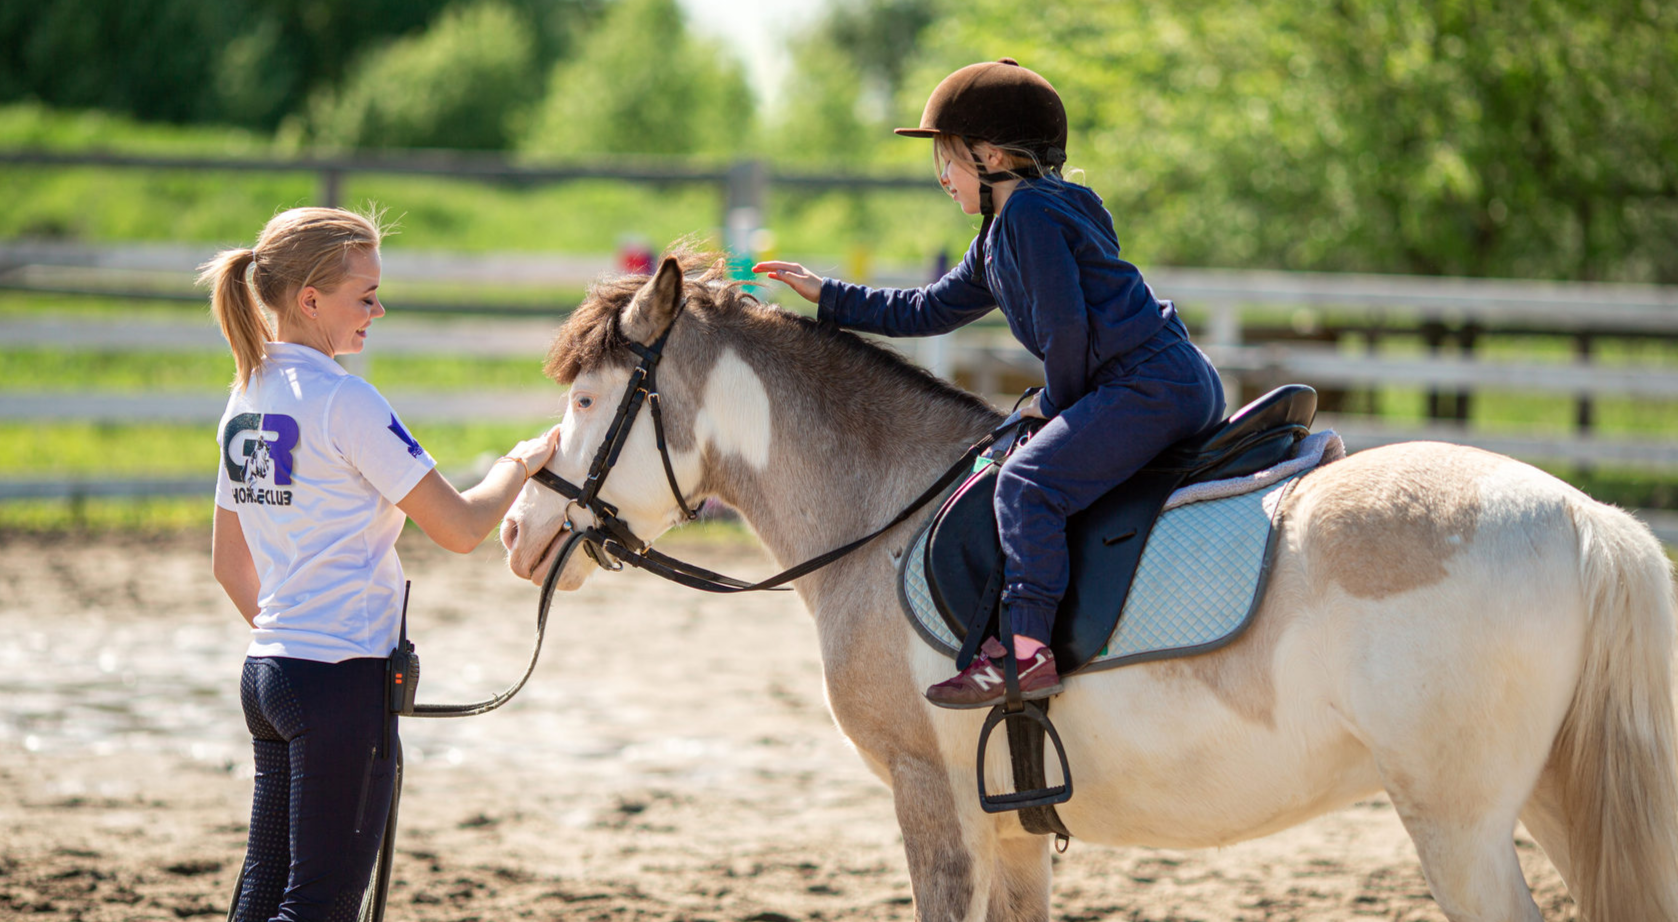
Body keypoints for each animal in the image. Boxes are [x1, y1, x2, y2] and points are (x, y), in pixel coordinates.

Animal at [496, 255, 1678, 920]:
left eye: (590, 397)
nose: (516, 528)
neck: (884, 515)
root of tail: (1587, 520)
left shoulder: (930, 805)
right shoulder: (1015, 830)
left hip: (1461, 823)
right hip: (1553, 798)